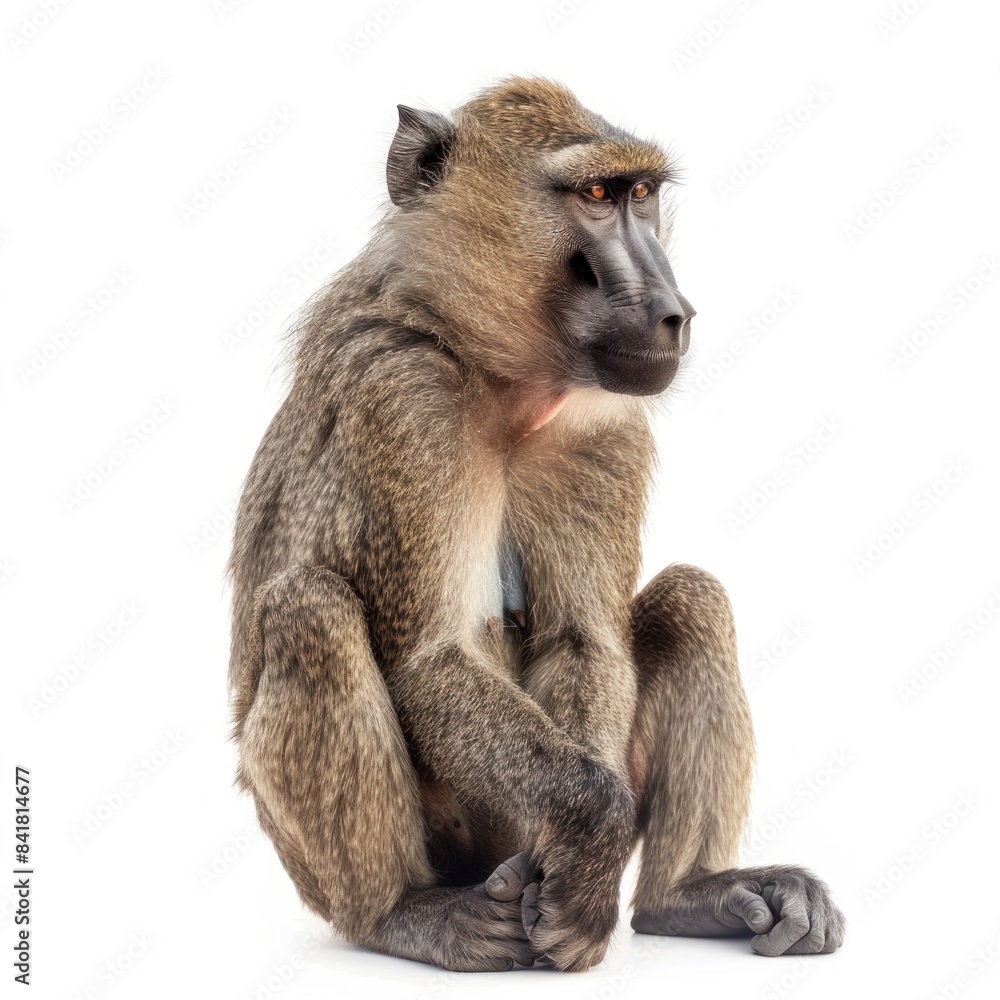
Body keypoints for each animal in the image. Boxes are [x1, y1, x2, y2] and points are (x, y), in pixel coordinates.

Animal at [227, 77, 845, 973]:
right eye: (593, 197)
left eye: (641, 194)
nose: (673, 313)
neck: (499, 380)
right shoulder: (401, 398)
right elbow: (428, 658)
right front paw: (595, 842)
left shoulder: (605, 429)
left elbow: (584, 641)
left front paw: (593, 878)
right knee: (309, 608)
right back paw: (403, 912)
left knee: (691, 599)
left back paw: (683, 897)